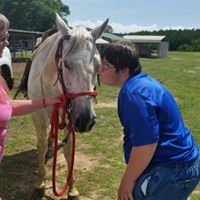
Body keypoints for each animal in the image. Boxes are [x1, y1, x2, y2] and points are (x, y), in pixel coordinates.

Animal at [27, 13, 108, 199]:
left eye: (98, 66)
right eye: (66, 64)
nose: (86, 120)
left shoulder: (70, 115)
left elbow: (69, 149)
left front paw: (72, 188)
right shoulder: (39, 113)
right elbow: (41, 142)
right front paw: (40, 182)